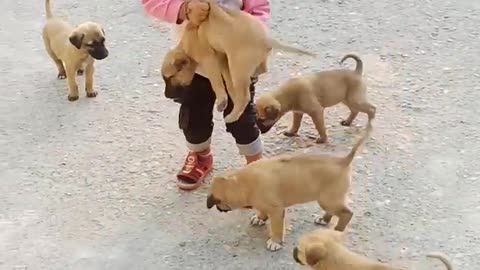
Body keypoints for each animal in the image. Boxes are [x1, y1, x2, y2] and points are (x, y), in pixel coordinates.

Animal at [161, 0, 316, 122]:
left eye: (169, 78)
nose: (166, 96)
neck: (186, 43)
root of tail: (265, 38)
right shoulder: (223, 60)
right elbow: (228, 84)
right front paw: (231, 98)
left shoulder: (210, 60)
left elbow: (217, 83)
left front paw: (222, 101)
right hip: (237, 64)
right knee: (259, 72)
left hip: (237, 67)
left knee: (245, 96)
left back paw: (232, 116)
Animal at [204, 119, 374, 251]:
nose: (218, 208)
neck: (241, 182)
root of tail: (343, 161)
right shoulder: (264, 204)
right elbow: (262, 210)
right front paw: (260, 218)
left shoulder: (277, 210)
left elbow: (277, 227)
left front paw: (275, 242)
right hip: (329, 200)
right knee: (335, 212)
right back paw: (324, 220)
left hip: (328, 199)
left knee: (347, 214)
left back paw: (337, 231)